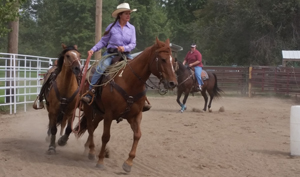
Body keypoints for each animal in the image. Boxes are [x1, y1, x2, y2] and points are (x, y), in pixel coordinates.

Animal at [76, 38, 178, 172]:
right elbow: (106, 136)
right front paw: (101, 161)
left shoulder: (135, 115)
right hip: (89, 108)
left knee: (93, 125)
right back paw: (92, 151)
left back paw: (87, 149)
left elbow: (138, 135)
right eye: (163, 59)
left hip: (99, 112)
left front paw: (128, 163)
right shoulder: (109, 114)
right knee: (90, 127)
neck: (129, 81)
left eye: (173, 60)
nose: (173, 83)